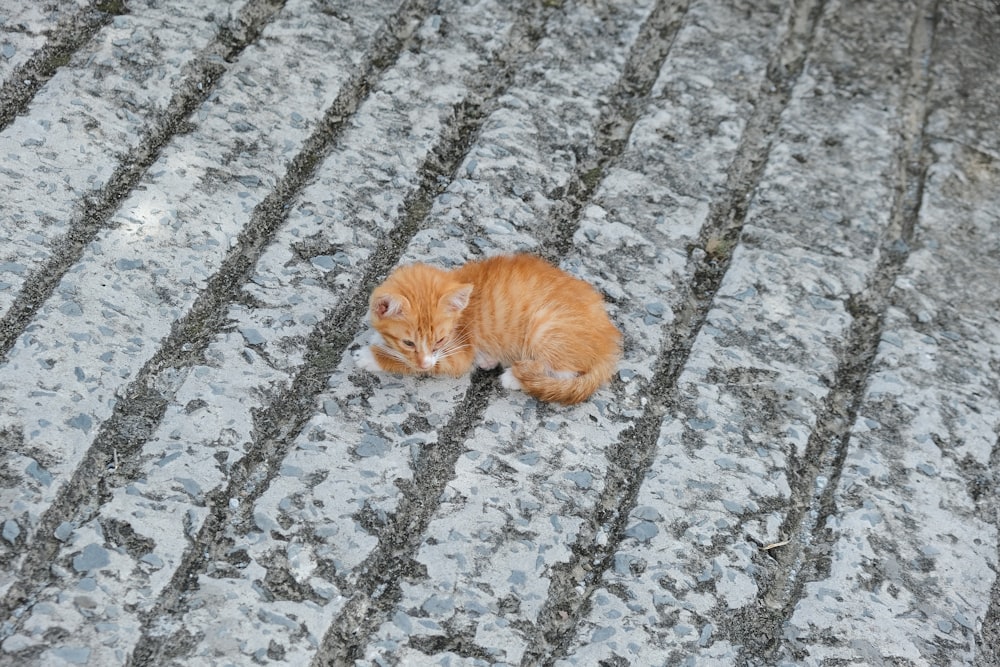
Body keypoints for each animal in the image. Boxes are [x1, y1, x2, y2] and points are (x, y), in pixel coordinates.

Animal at [356, 253, 620, 404]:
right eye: (409, 342)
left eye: (440, 341)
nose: (425, 363)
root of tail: (611, 341)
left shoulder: (457, 353)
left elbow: (418, 363)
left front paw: (371, 356)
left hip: (545, 327)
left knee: (563, 371)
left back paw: (514, 376)